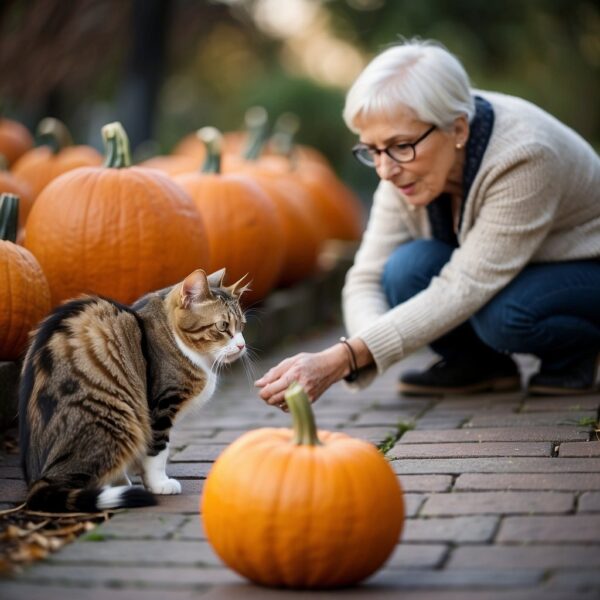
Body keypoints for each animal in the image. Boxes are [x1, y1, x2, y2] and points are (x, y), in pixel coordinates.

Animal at [18, 268, 248, 510]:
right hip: (118, 417)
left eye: (242, 325)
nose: (242, 345)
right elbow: (157, 453)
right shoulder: (160, 407)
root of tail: (38, 478)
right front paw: (159, 484)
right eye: (223, 326)